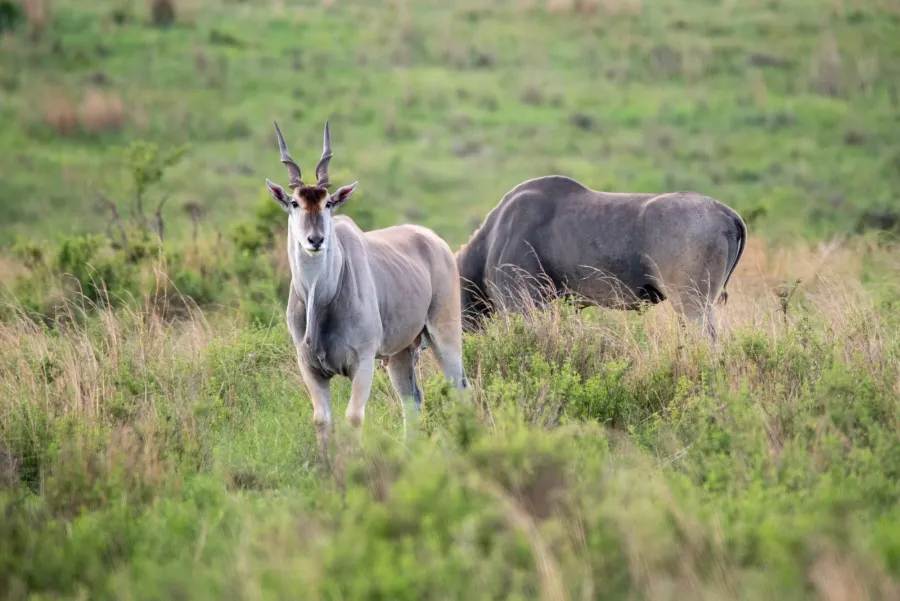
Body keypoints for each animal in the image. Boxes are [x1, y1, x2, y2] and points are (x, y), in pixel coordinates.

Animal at [266, 121, 468, 454]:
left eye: (328, 202)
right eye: (294, 203)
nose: (315, 240)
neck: (321, 298)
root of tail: (436, 242)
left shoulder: (362, 361)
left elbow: (354, 417)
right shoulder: (309, 366)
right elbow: (322, 420)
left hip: (444, 333)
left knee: (460, 388)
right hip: (400, 353)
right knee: (412, 400)